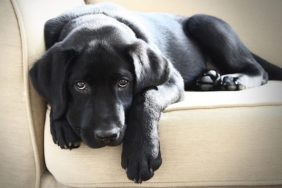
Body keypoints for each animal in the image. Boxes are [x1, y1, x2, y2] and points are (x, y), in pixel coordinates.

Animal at [29, 2, 282, 184]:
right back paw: (208, 79)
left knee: (259, 71)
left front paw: (141, 152)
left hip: (203, 22)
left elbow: (146, 97)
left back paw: (234, 79)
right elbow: (56, 97)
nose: (107, 135)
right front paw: (60, 122)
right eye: (79, 85)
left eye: (123, 83)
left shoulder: (172, 80)